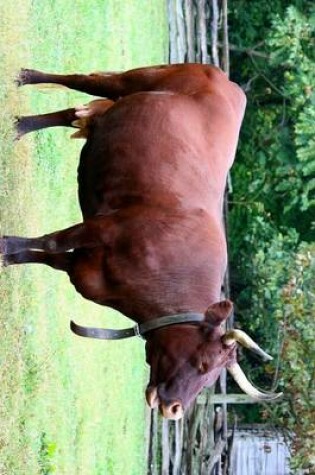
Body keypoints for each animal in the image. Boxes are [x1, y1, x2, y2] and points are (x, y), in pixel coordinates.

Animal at [0, 63, 282, 420]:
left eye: (210, 379)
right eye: (203, 364)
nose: (174, 409)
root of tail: (225, 79)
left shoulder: (84, 266)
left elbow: (47, 257)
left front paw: (10, 258)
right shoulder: (104, 227)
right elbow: (51, 242)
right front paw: (4, 247)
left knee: (73, 115)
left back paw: (19, 126)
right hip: (134, 80)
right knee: (80, 82)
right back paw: (27, 80)